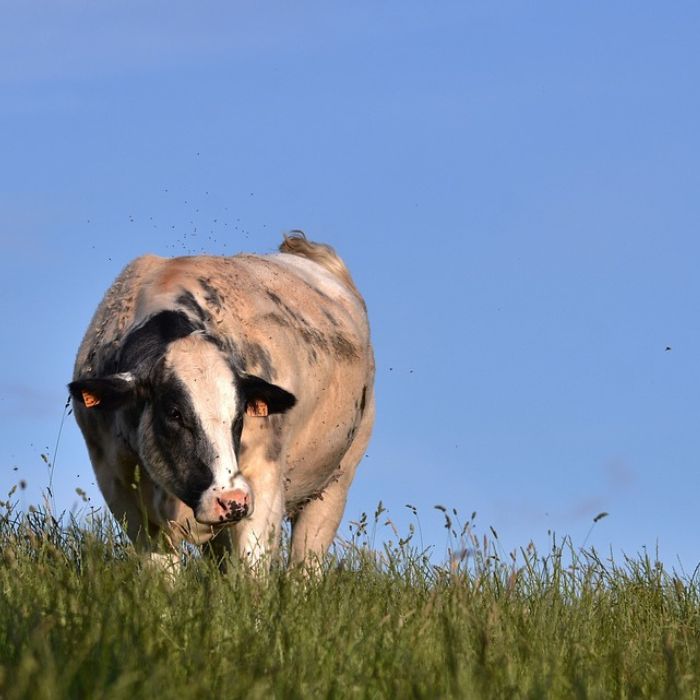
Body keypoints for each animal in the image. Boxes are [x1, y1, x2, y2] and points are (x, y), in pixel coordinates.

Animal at [70, 232, 374, 572]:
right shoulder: (122, 491)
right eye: (175, 413)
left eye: (240, 416)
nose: (231, 500)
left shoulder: (264, 483)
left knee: (305, 564)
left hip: (334, 485)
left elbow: (252, 569)